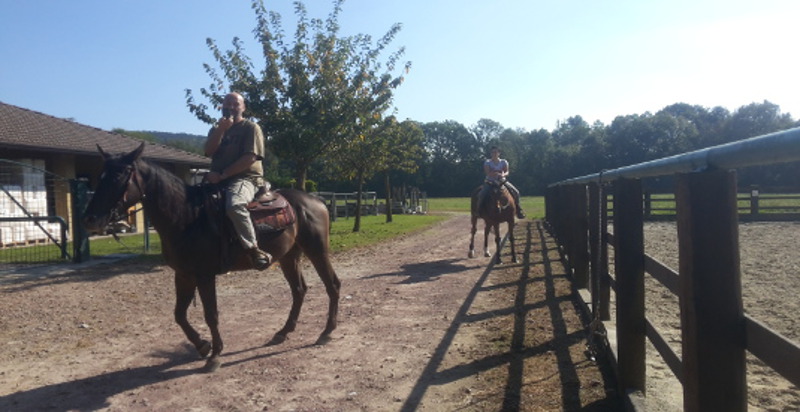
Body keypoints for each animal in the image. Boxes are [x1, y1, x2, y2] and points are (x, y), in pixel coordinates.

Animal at [83, 143, 340, 372]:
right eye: (100, 175)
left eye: (118, 177)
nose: (90, 219)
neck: (186, 216)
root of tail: (316, 200)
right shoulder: (184, 275)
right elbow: (179, 315)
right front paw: (203, 346)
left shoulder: (204, 275)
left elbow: (211, 314)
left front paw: (215, 356)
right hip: (288, 257)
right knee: (299, 290)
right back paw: (283, 332)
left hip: (317, 251)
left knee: (332, 285)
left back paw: (326, 332)